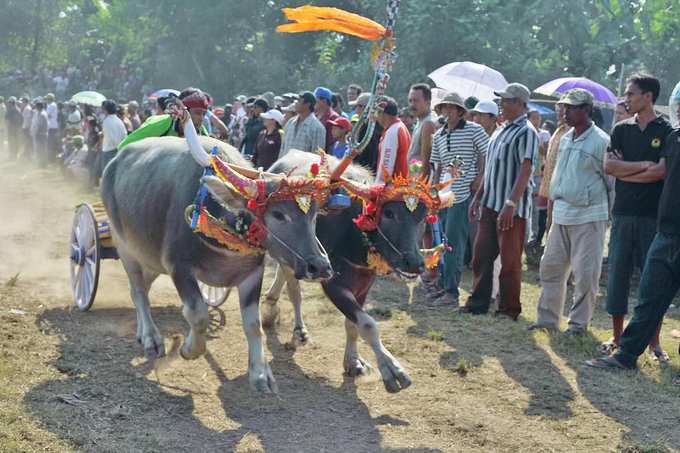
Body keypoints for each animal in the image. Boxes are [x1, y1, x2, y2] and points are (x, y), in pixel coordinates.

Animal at [101, 134, 332, 392]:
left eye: (314, 216)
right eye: (278, 214)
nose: (320, 266)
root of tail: (114, 162)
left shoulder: (253, 273)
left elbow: (253, 324)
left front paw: (260, 374)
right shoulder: (178, 267)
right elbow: (198, 314)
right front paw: (189, 349)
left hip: (150, 258)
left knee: (140, 289)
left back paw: (143, 332)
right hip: (124, 246)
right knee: (139, 290)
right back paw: (152, 337)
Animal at [262, 150, 454, 390]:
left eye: (423, 218)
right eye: (389, 213)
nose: (414, 263)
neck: (353, 230)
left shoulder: (364, 284)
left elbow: (353, 324)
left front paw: (353, 362)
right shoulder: (332, 283)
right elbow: (368, 324)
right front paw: (392, 369)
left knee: (286, 275)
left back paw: (271, 305)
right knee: (294, 289)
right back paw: (293, 325)